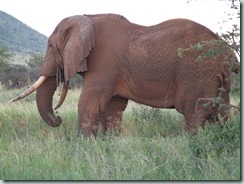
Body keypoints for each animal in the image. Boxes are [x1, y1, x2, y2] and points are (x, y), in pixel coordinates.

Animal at [11, 13, 238, 137]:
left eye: (50, 45)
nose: (58, 119)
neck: (87, 18)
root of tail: (227, 51)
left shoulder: (104, 63)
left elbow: (89, 103)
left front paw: (84, 147)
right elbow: (113, 107)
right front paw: (108, 144)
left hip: (197, 71)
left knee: (194, 111)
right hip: (217, 76)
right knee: (221, 111)